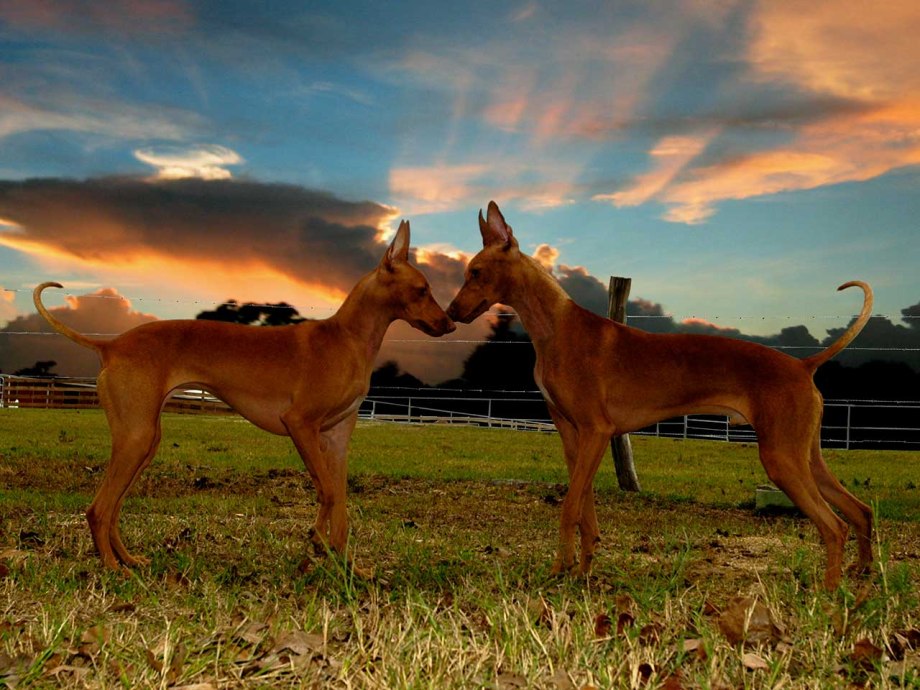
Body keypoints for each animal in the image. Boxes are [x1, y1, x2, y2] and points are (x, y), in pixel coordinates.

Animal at [35, 220, 456, 568]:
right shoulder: (300, 424)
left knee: (112, 509)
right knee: (98, 509)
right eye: (423, 290)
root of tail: (112, 345)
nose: (451, 324)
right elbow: (327, 494)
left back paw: (128, 560)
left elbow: (341, 506)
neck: (348, 339)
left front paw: (346, 567)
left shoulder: (336, 439)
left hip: (143, 442)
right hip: (136, 438)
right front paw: (316, 545)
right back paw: (111, 568)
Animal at [450, 202, 872, 588]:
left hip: (781, 459)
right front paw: (582, 568)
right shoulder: (573, 436)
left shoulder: (596, 431)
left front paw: (558, 571)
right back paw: (862, 575)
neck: (555, 327)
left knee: (834, 526)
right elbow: (584, 507)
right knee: (861, 510)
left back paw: (829, 593)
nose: (451, 313)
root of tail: (803, 365)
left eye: (476, 272)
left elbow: (569, 507)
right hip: (804, 456)